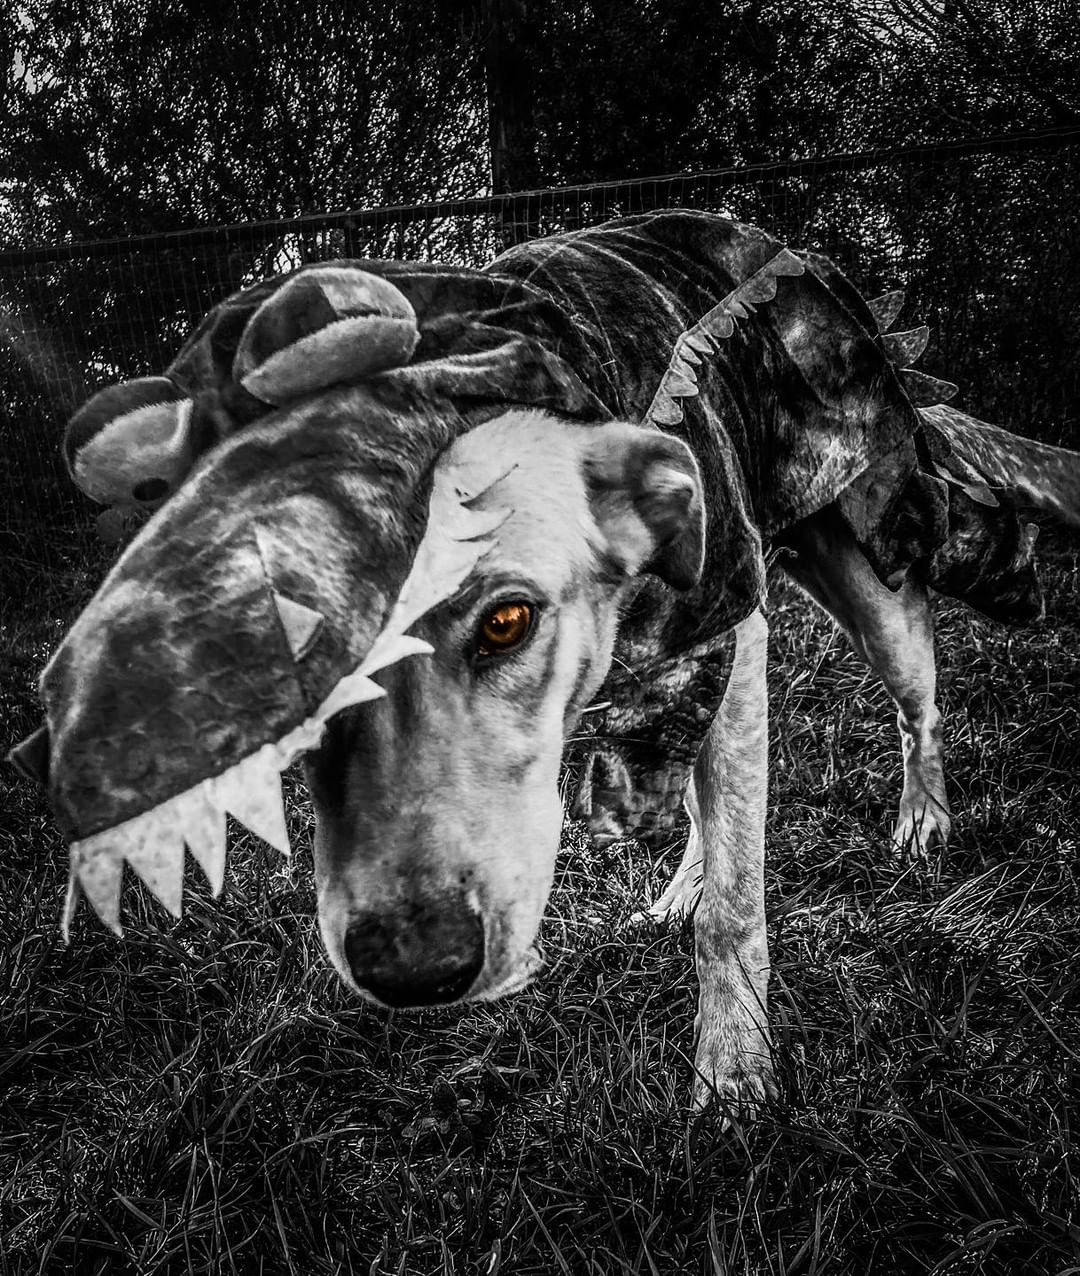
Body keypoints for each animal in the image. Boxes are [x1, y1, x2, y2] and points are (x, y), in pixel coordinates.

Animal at [10, 211, 1080, 1117]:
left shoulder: (726, 633)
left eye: (507, 621)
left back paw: (921, 820)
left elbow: (737, 909)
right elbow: (710, 821)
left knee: (915, 703)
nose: (414, 971)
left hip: (872, 558)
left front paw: (735, 1082)